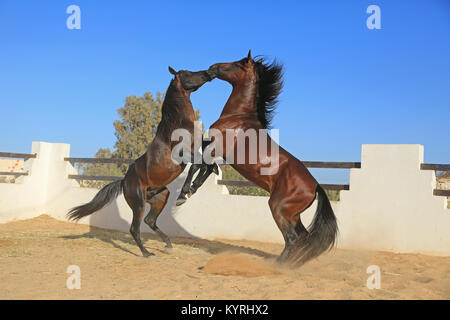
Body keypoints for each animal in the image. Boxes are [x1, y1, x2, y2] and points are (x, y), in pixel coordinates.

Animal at [67, 67, 214, 258]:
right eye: (188, 73)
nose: (208, 73)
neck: (177, 122)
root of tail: (124, 182)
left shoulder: (197, 148)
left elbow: (208, 164)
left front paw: (194, 187)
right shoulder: (182, 153)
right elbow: (198, 164)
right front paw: (184, 194)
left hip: (160, 196)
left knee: (149, 221)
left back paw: (167, 244)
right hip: (138, 203)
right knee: (134, 228)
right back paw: (147, 253)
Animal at [207, 52, 338, 266]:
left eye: (238, 63)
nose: (213, 67)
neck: (238, 117)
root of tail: (315, 186)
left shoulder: (214, 148)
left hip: (278, 207)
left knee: (293, 239)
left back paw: (279, 265)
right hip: (293, 215)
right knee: (303, 237)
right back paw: (293, 264)